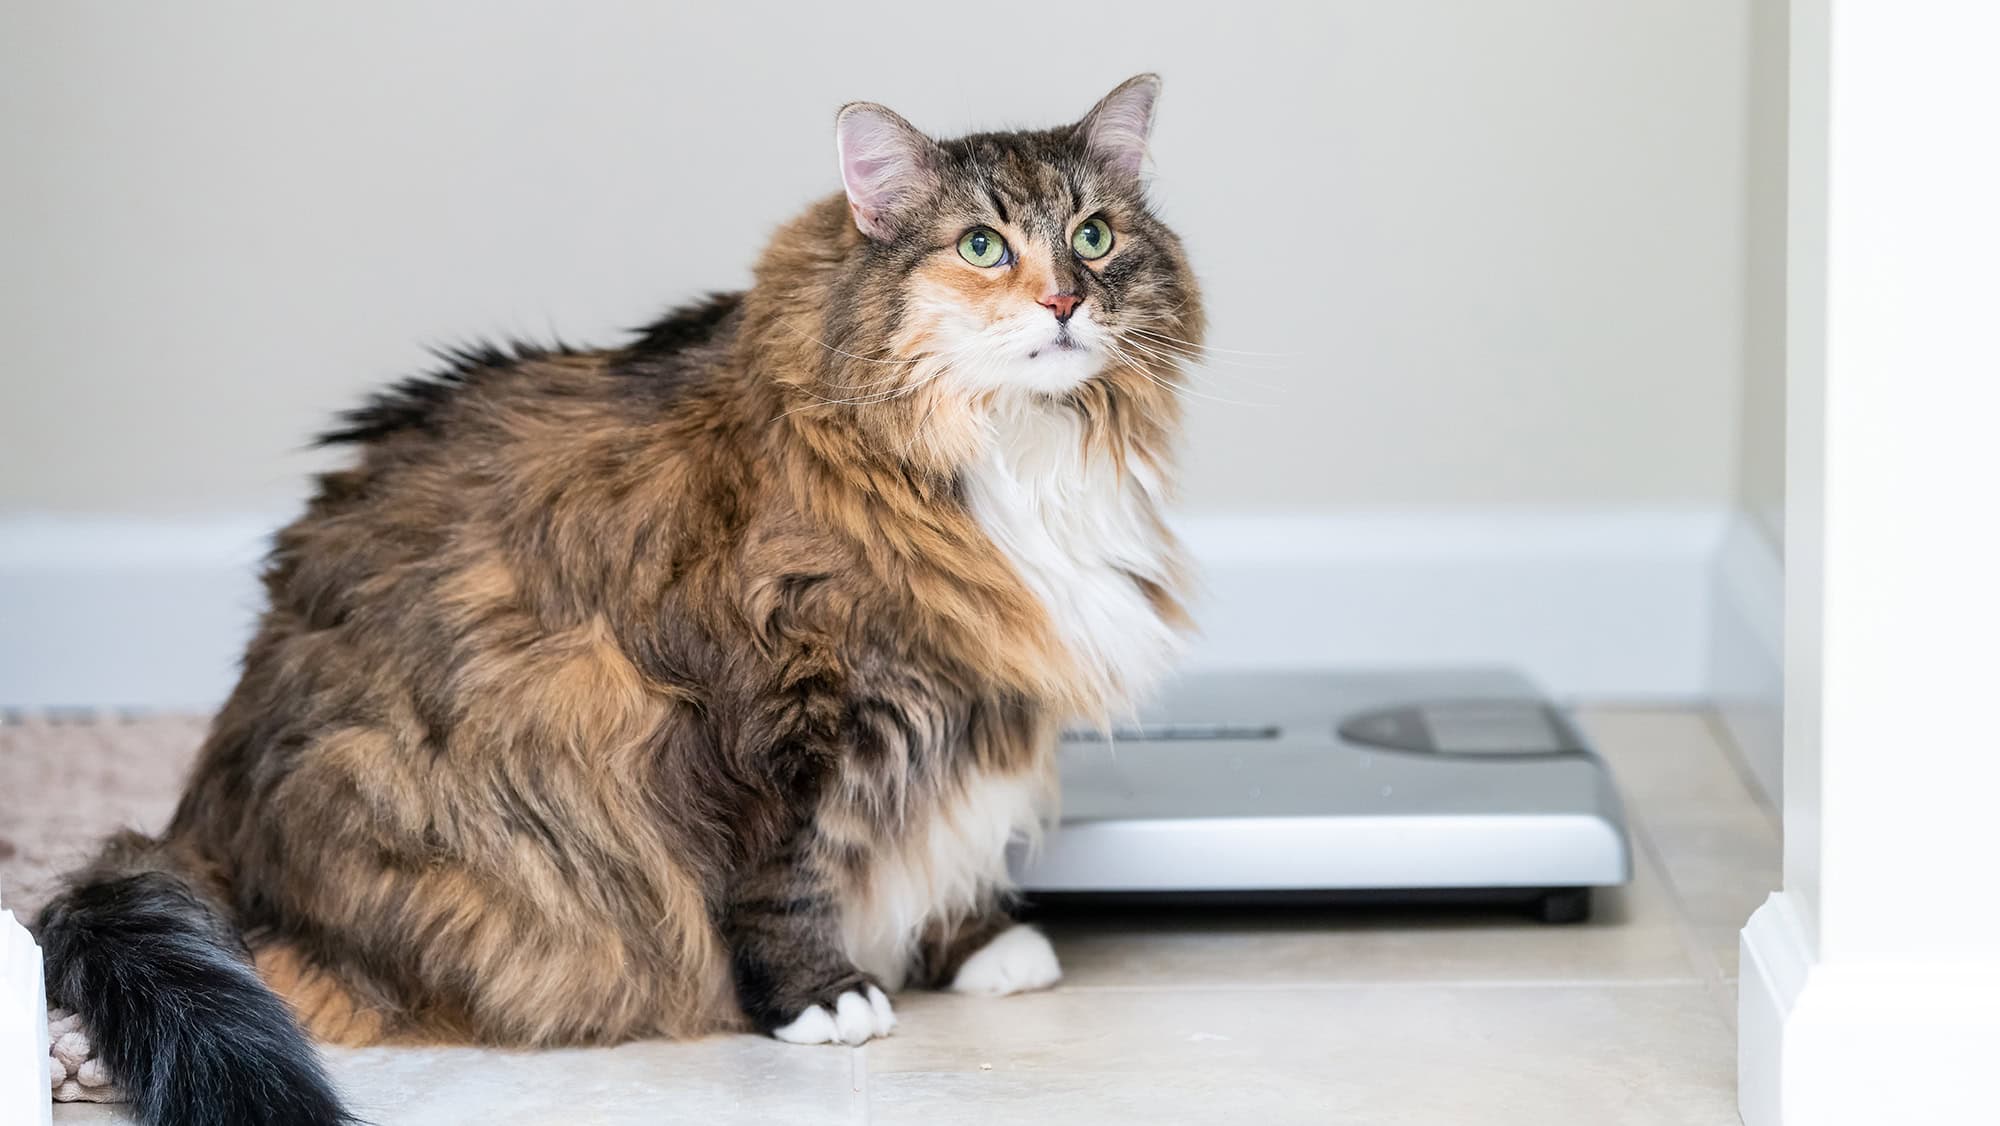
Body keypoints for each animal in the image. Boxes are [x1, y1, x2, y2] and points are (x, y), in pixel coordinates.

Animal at [35, 72, 1200, 1126]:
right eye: (981, 247)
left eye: (1094, 236)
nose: (1065, 299)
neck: (1011, 449)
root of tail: (197, 823)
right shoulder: (773, 714)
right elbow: (787, 875)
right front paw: (824, 999)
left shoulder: (968, 698)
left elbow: (949, 829)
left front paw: (974, 945)